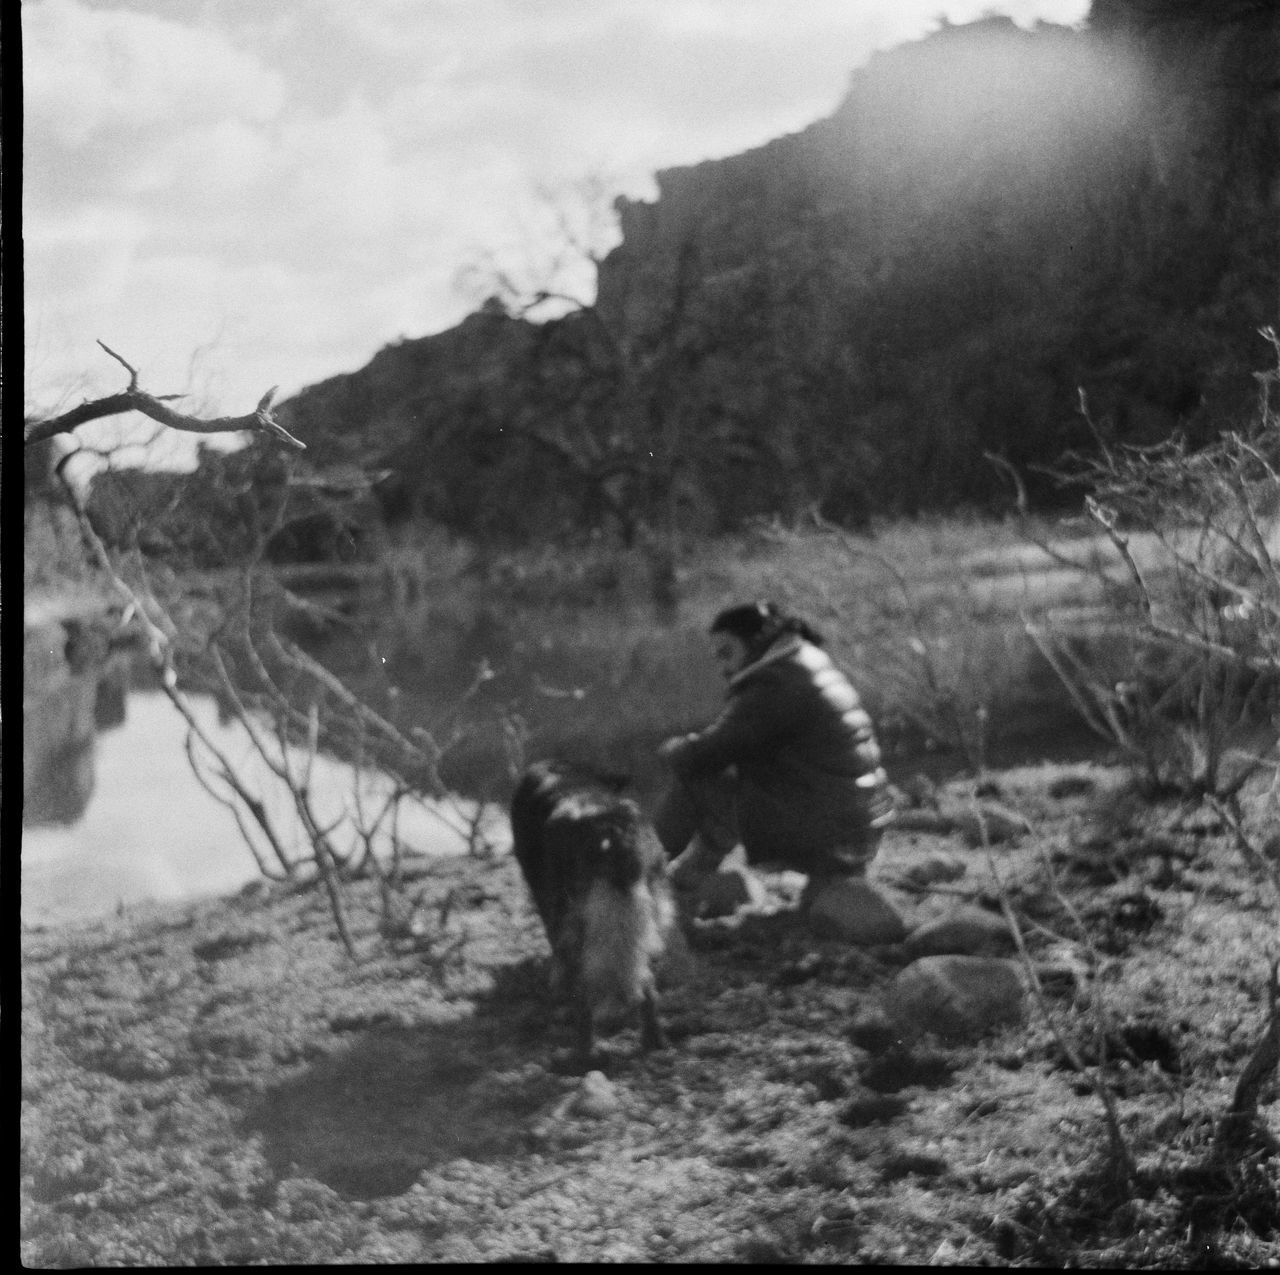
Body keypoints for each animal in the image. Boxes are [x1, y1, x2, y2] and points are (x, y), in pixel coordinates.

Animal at [506, 757, 680, 1065]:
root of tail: (609, 828)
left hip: (572, 921)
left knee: (584, 994)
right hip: (655, 911)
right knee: (647, 984)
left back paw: (581, 1055)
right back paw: (654, 1042)